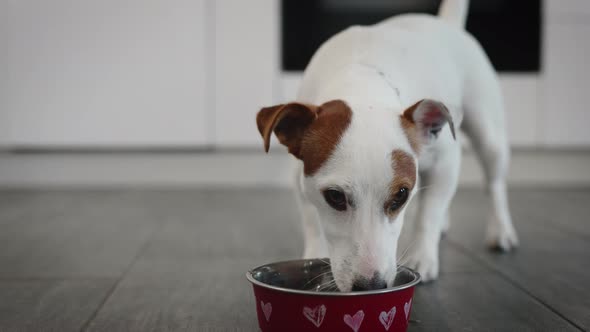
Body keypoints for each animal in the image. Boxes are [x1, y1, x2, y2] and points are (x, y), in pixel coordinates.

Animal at [256, 0, 520, 290]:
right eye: (334, 196)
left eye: (401, 195)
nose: (371, 286)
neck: (361, 82)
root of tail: (446, 22)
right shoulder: (300, 175)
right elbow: (312, 221)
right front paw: (314, 253)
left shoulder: (445, 161)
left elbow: (429, 213)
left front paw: (422, 256)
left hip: (488, 133)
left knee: (493, 183)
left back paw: (501, 230)